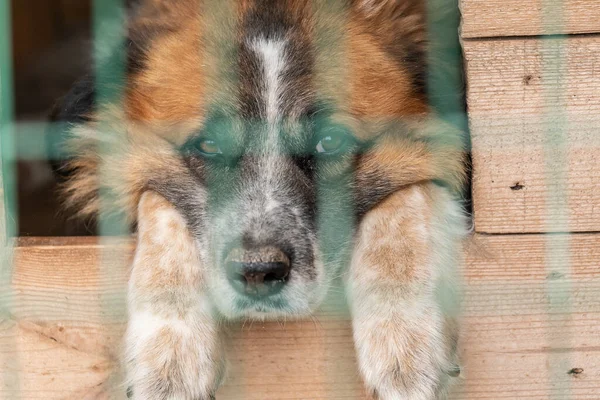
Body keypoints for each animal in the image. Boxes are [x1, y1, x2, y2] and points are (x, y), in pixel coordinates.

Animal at [52, 1, 468, 398]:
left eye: (329, 141)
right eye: (209, 145)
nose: (257, 272)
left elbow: (404, 205)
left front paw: (404, 337)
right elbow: (158, 208)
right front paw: (169, 350)